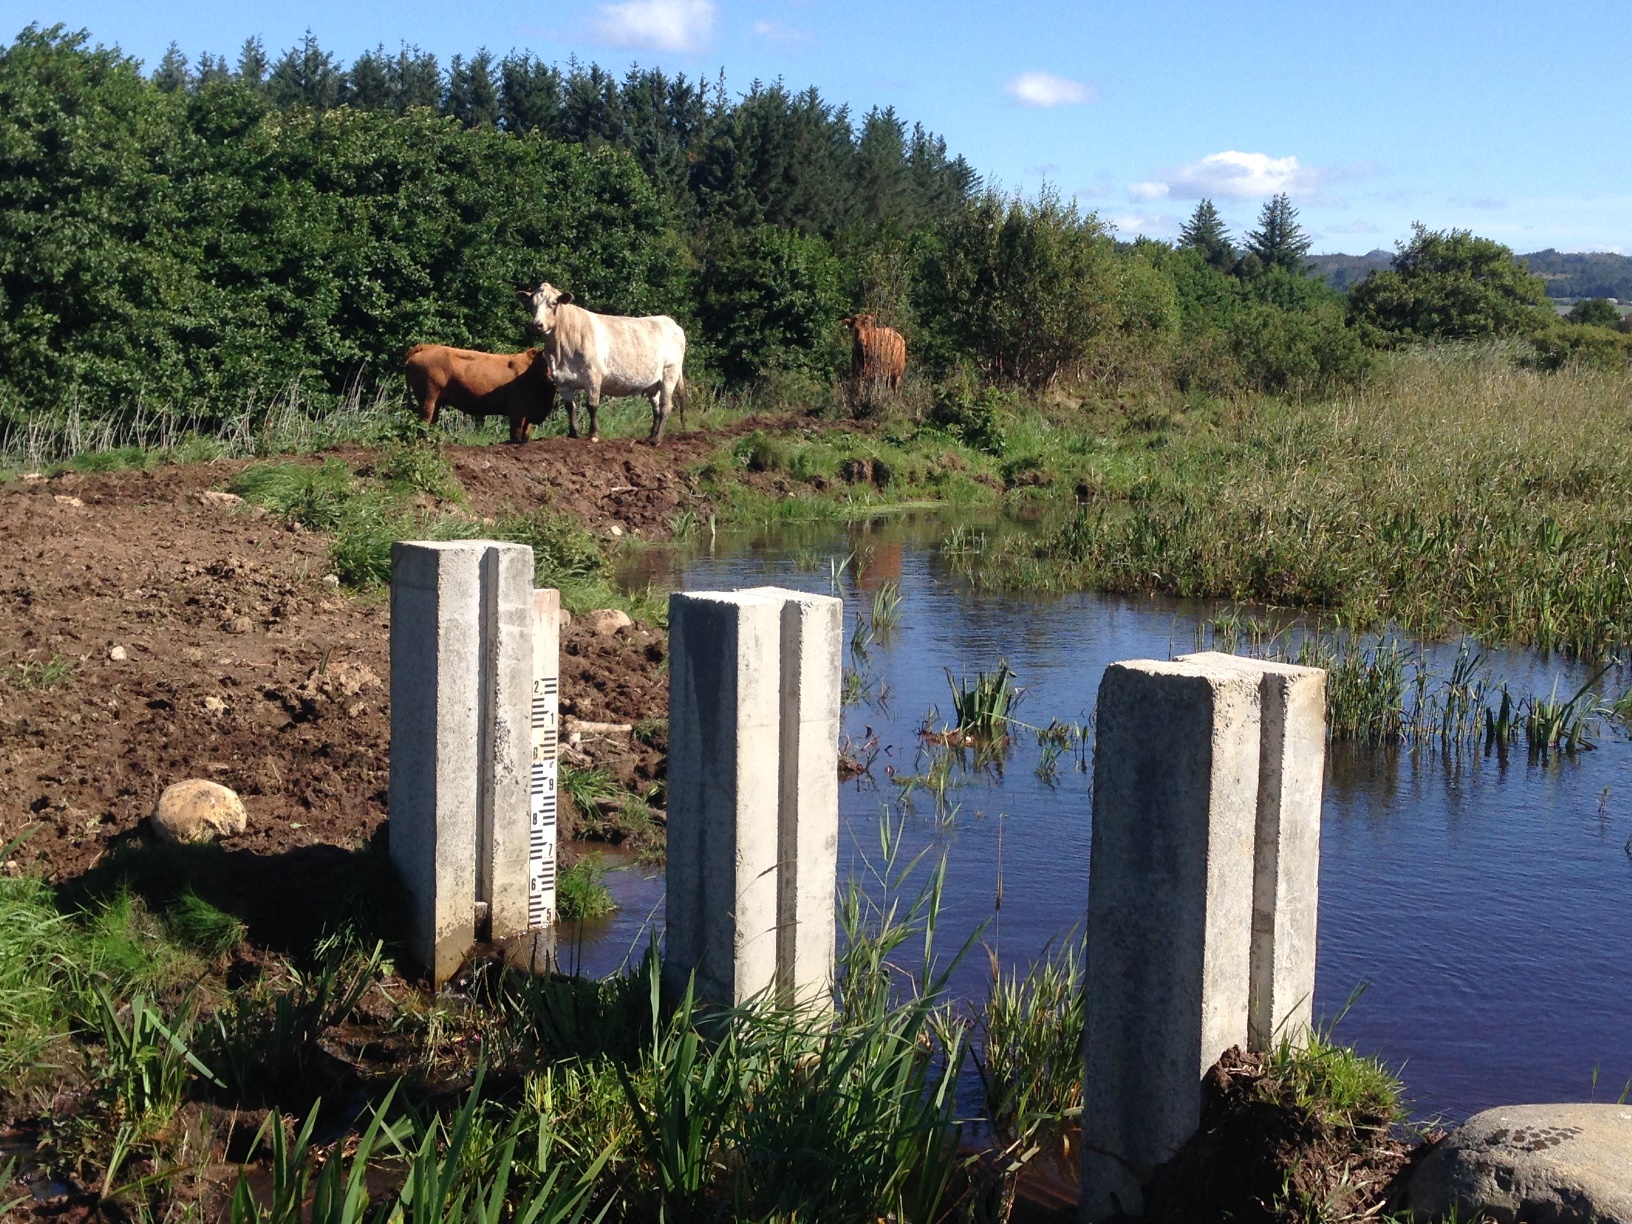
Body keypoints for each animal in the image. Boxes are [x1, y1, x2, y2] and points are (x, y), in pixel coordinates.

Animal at [403, 342, 558, 443]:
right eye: (545, 361)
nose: (551, 378)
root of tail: (425, 346)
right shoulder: (517, 412)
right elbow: (516, 435)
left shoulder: (528, 415)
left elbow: (525, 435)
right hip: (428, 398)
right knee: (424, 421)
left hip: (436, 402)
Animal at [512, 283, 685, 447]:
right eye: (531, 304)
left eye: (553, 303)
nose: (537, 325)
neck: (560, 350)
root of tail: (670, 322)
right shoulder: (561, 381)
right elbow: (570, 407)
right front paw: (572, 434)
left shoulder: (593, 375)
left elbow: (592, 405)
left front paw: (593, 434)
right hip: (652, 383)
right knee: (656, 408)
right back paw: (651, 436)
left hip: (670, 372)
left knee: (666, 406)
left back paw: (656, 439)